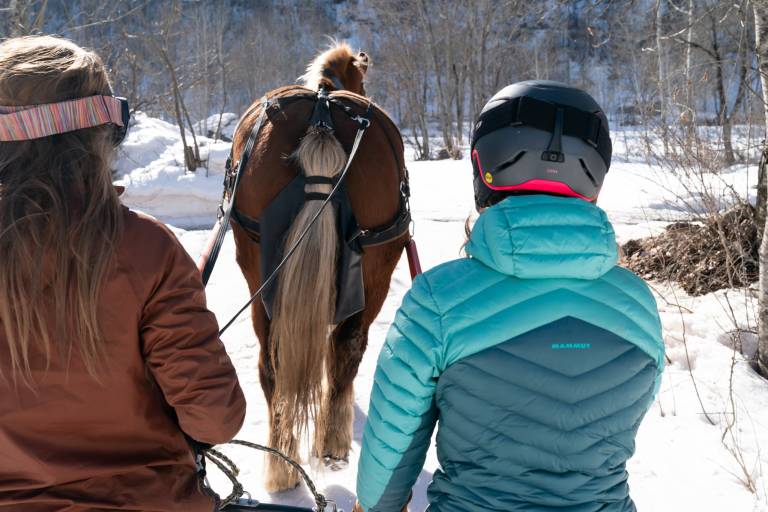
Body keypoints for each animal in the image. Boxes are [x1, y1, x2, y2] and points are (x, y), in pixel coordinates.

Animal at [227, 42, 409, 492]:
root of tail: (323, 116)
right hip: (378, 266)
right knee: (348, 346)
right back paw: (331, 445)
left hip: (258, 269)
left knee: (273, 361)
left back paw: (283, 461)